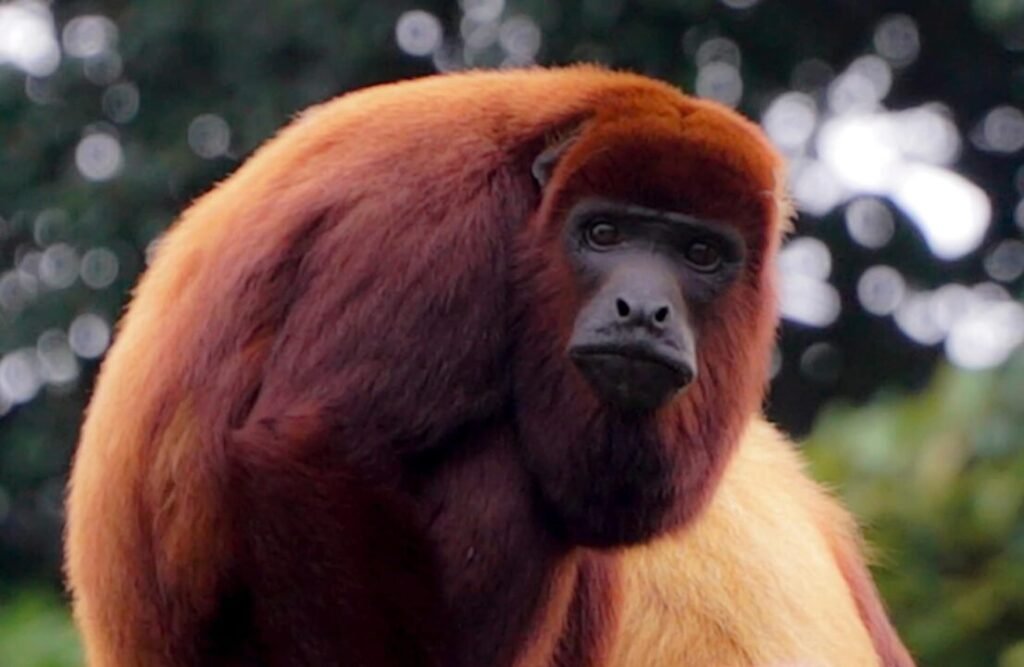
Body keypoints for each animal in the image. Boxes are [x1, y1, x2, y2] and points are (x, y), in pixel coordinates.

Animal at [64, 64, 913, 667]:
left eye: (700, 253)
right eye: (603, 234)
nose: (644, 309)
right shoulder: (440, 225)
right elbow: (308, 445)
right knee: (506, 476)